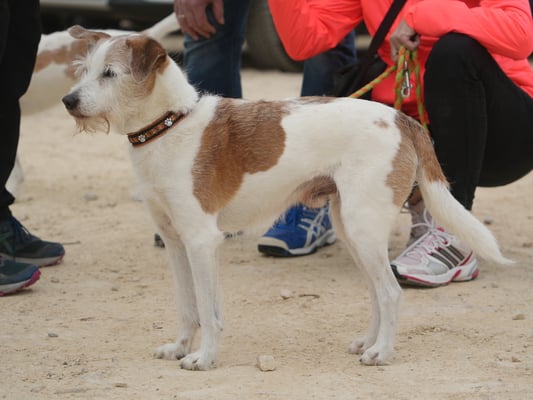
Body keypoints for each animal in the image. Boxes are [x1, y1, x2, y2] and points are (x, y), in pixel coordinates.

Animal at [61, 27, 512, 370]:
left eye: (110, 73)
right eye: (84, 71)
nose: (68, 101)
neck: (169, 124)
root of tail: (402, 118)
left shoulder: (202, 242)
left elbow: (208, 310)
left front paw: (204, 358)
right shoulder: (175, 243)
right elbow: (187, 307)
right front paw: (179, 347)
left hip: (364, 228)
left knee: (390, 292)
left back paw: (382, 353)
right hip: (351, 230)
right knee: (375, 292)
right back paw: (368, 343)